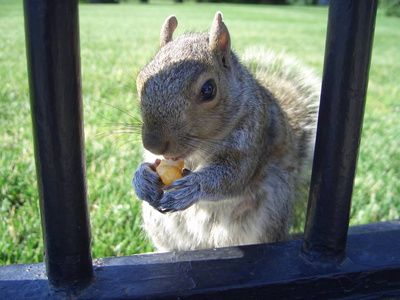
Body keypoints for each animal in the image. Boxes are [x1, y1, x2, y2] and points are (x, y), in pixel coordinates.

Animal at [133, 11, 320, 251]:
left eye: (208, 89)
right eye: (139, 81)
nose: (153, 143)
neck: (201, 148)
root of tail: (210, 244)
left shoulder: (253, 135)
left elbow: (233, 175)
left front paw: (193, 186)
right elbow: (149, 162)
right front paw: (141, 177)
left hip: (272, 210)